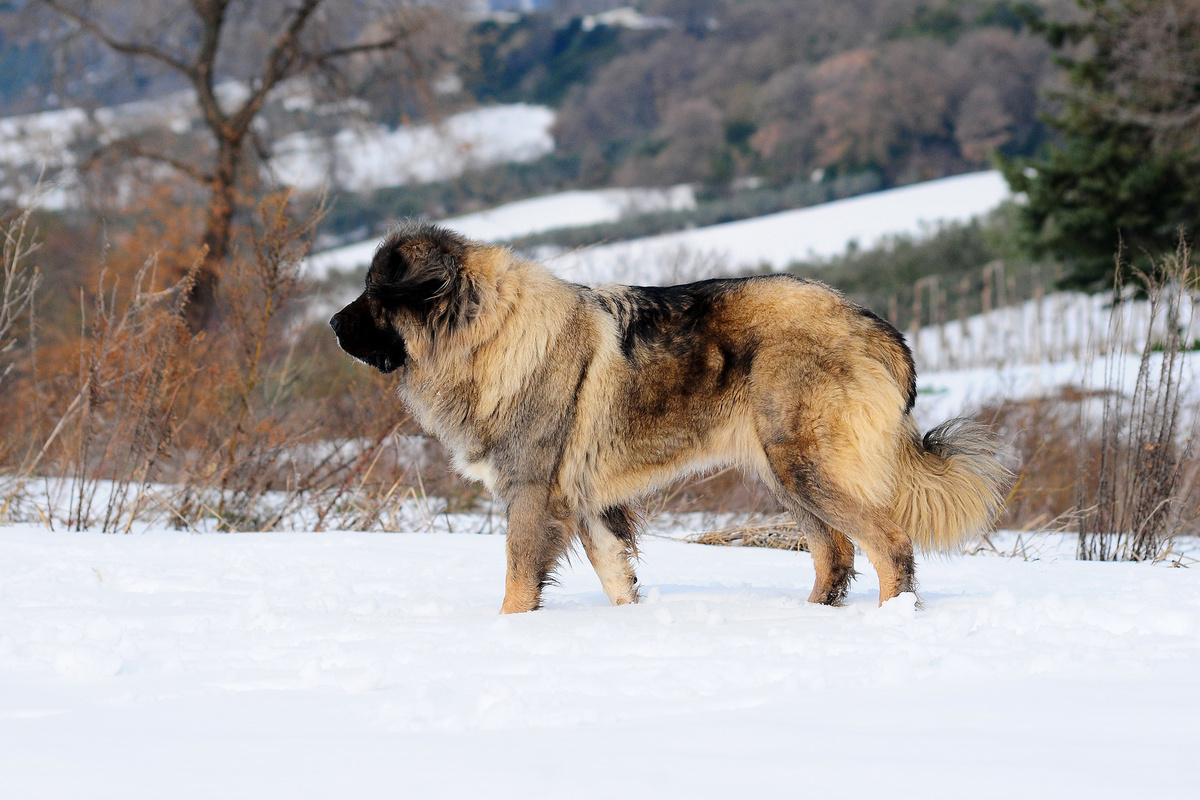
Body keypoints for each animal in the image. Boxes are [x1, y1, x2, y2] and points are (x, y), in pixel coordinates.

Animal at [331, 221, 1012, 609]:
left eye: (374, 294)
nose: (333, 324)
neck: (487, 332)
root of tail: (877, 327)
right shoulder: (588, 502)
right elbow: (616, 576)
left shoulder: (531, 494)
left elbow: (518, 583)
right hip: (784, 474)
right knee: (836, 554)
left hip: (806, 466)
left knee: (889, 545)